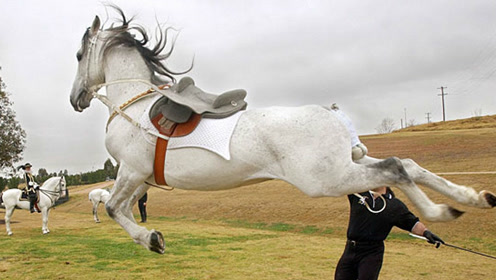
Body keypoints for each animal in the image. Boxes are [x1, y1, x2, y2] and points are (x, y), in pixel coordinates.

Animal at [70, 7, 496, 255]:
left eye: (77, 55)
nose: (76, 99)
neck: (133, 105)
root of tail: (333, 113)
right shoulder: (142, 178)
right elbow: (122, 206)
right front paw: (153, 236)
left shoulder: (132, 170)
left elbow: (113, 207)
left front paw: (152, 240)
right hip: (348, 163)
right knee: (408, 163)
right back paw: (470, 199)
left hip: (326, 178)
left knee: (396, 167)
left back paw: (440, 211)